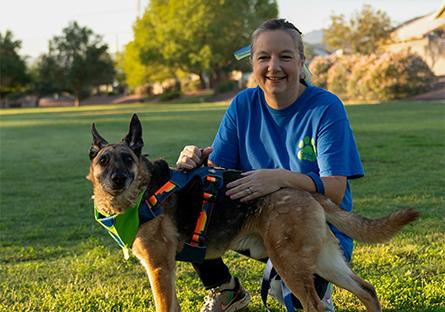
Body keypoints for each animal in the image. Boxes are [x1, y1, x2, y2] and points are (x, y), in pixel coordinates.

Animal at [88, 115, 418, 312]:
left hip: (290, 266)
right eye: (104, 160)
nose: (117, 179)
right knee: (367, 290)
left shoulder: (159, 268)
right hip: (324, 262)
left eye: (127, 159)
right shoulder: (164, 270)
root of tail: (308, 191)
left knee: (316, 306)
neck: (142, 191)